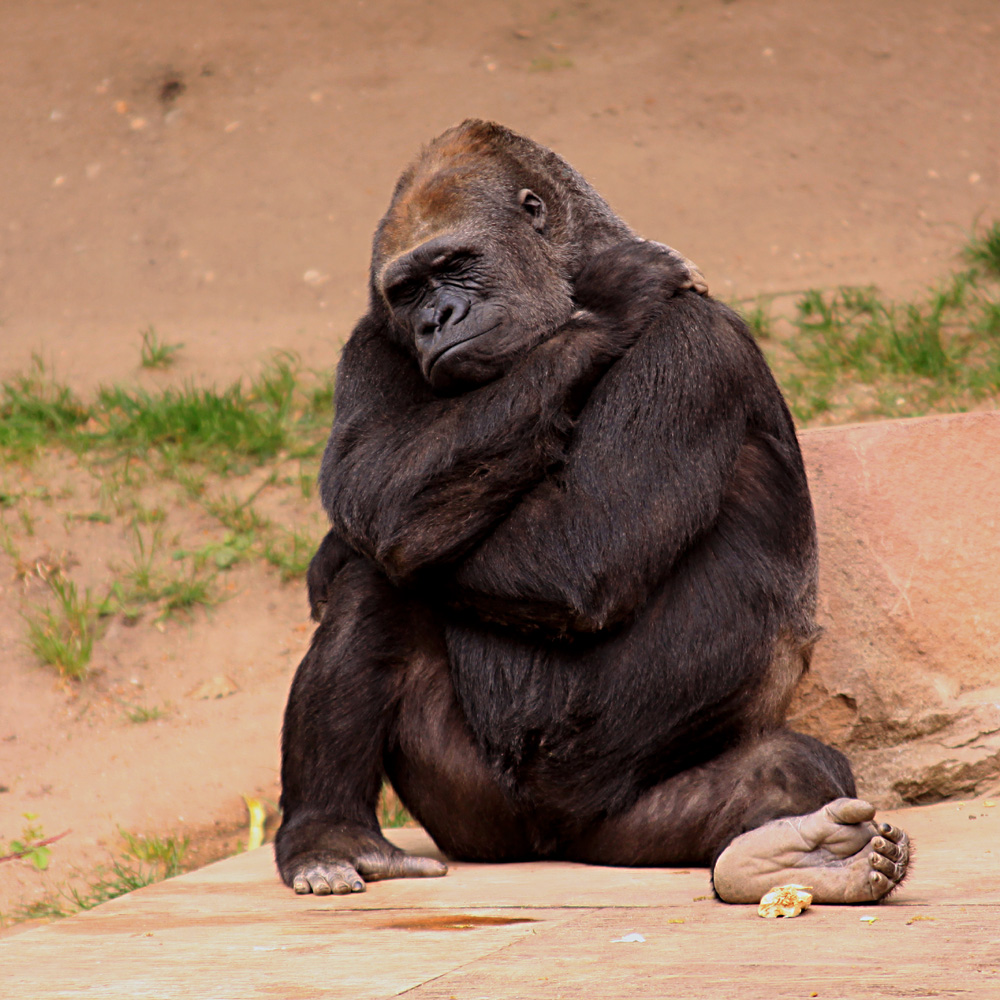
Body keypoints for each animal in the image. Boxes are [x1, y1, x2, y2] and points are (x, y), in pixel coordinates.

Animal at [272, 121, 908, 904]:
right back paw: (330, 833)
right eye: (408, 289)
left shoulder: (688, 339)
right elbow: (377, 493)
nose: (434, 320)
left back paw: (798, 855)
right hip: (475, 821)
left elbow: (578, 550)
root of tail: (553, 846)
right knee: (380, 578)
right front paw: (609, 304)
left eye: (455, 266)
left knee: (783, 774)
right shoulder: (371, 338)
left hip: (613, 827)